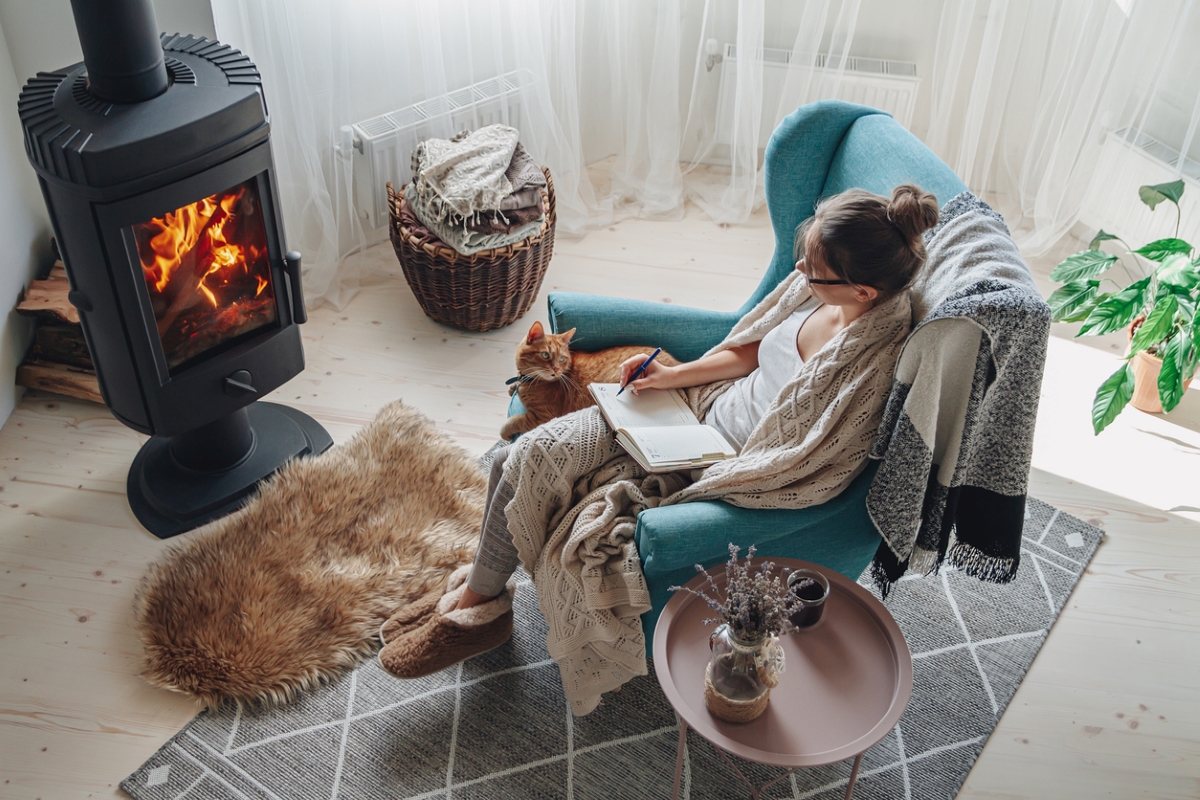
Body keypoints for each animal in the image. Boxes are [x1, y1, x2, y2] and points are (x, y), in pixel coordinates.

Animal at [501, 321, 681, 441]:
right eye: (545, 355)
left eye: (561, 359)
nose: (556, 370)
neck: (528, 380)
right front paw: (512, 387)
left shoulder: (542, 417)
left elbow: (513, 421)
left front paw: (505, 433)